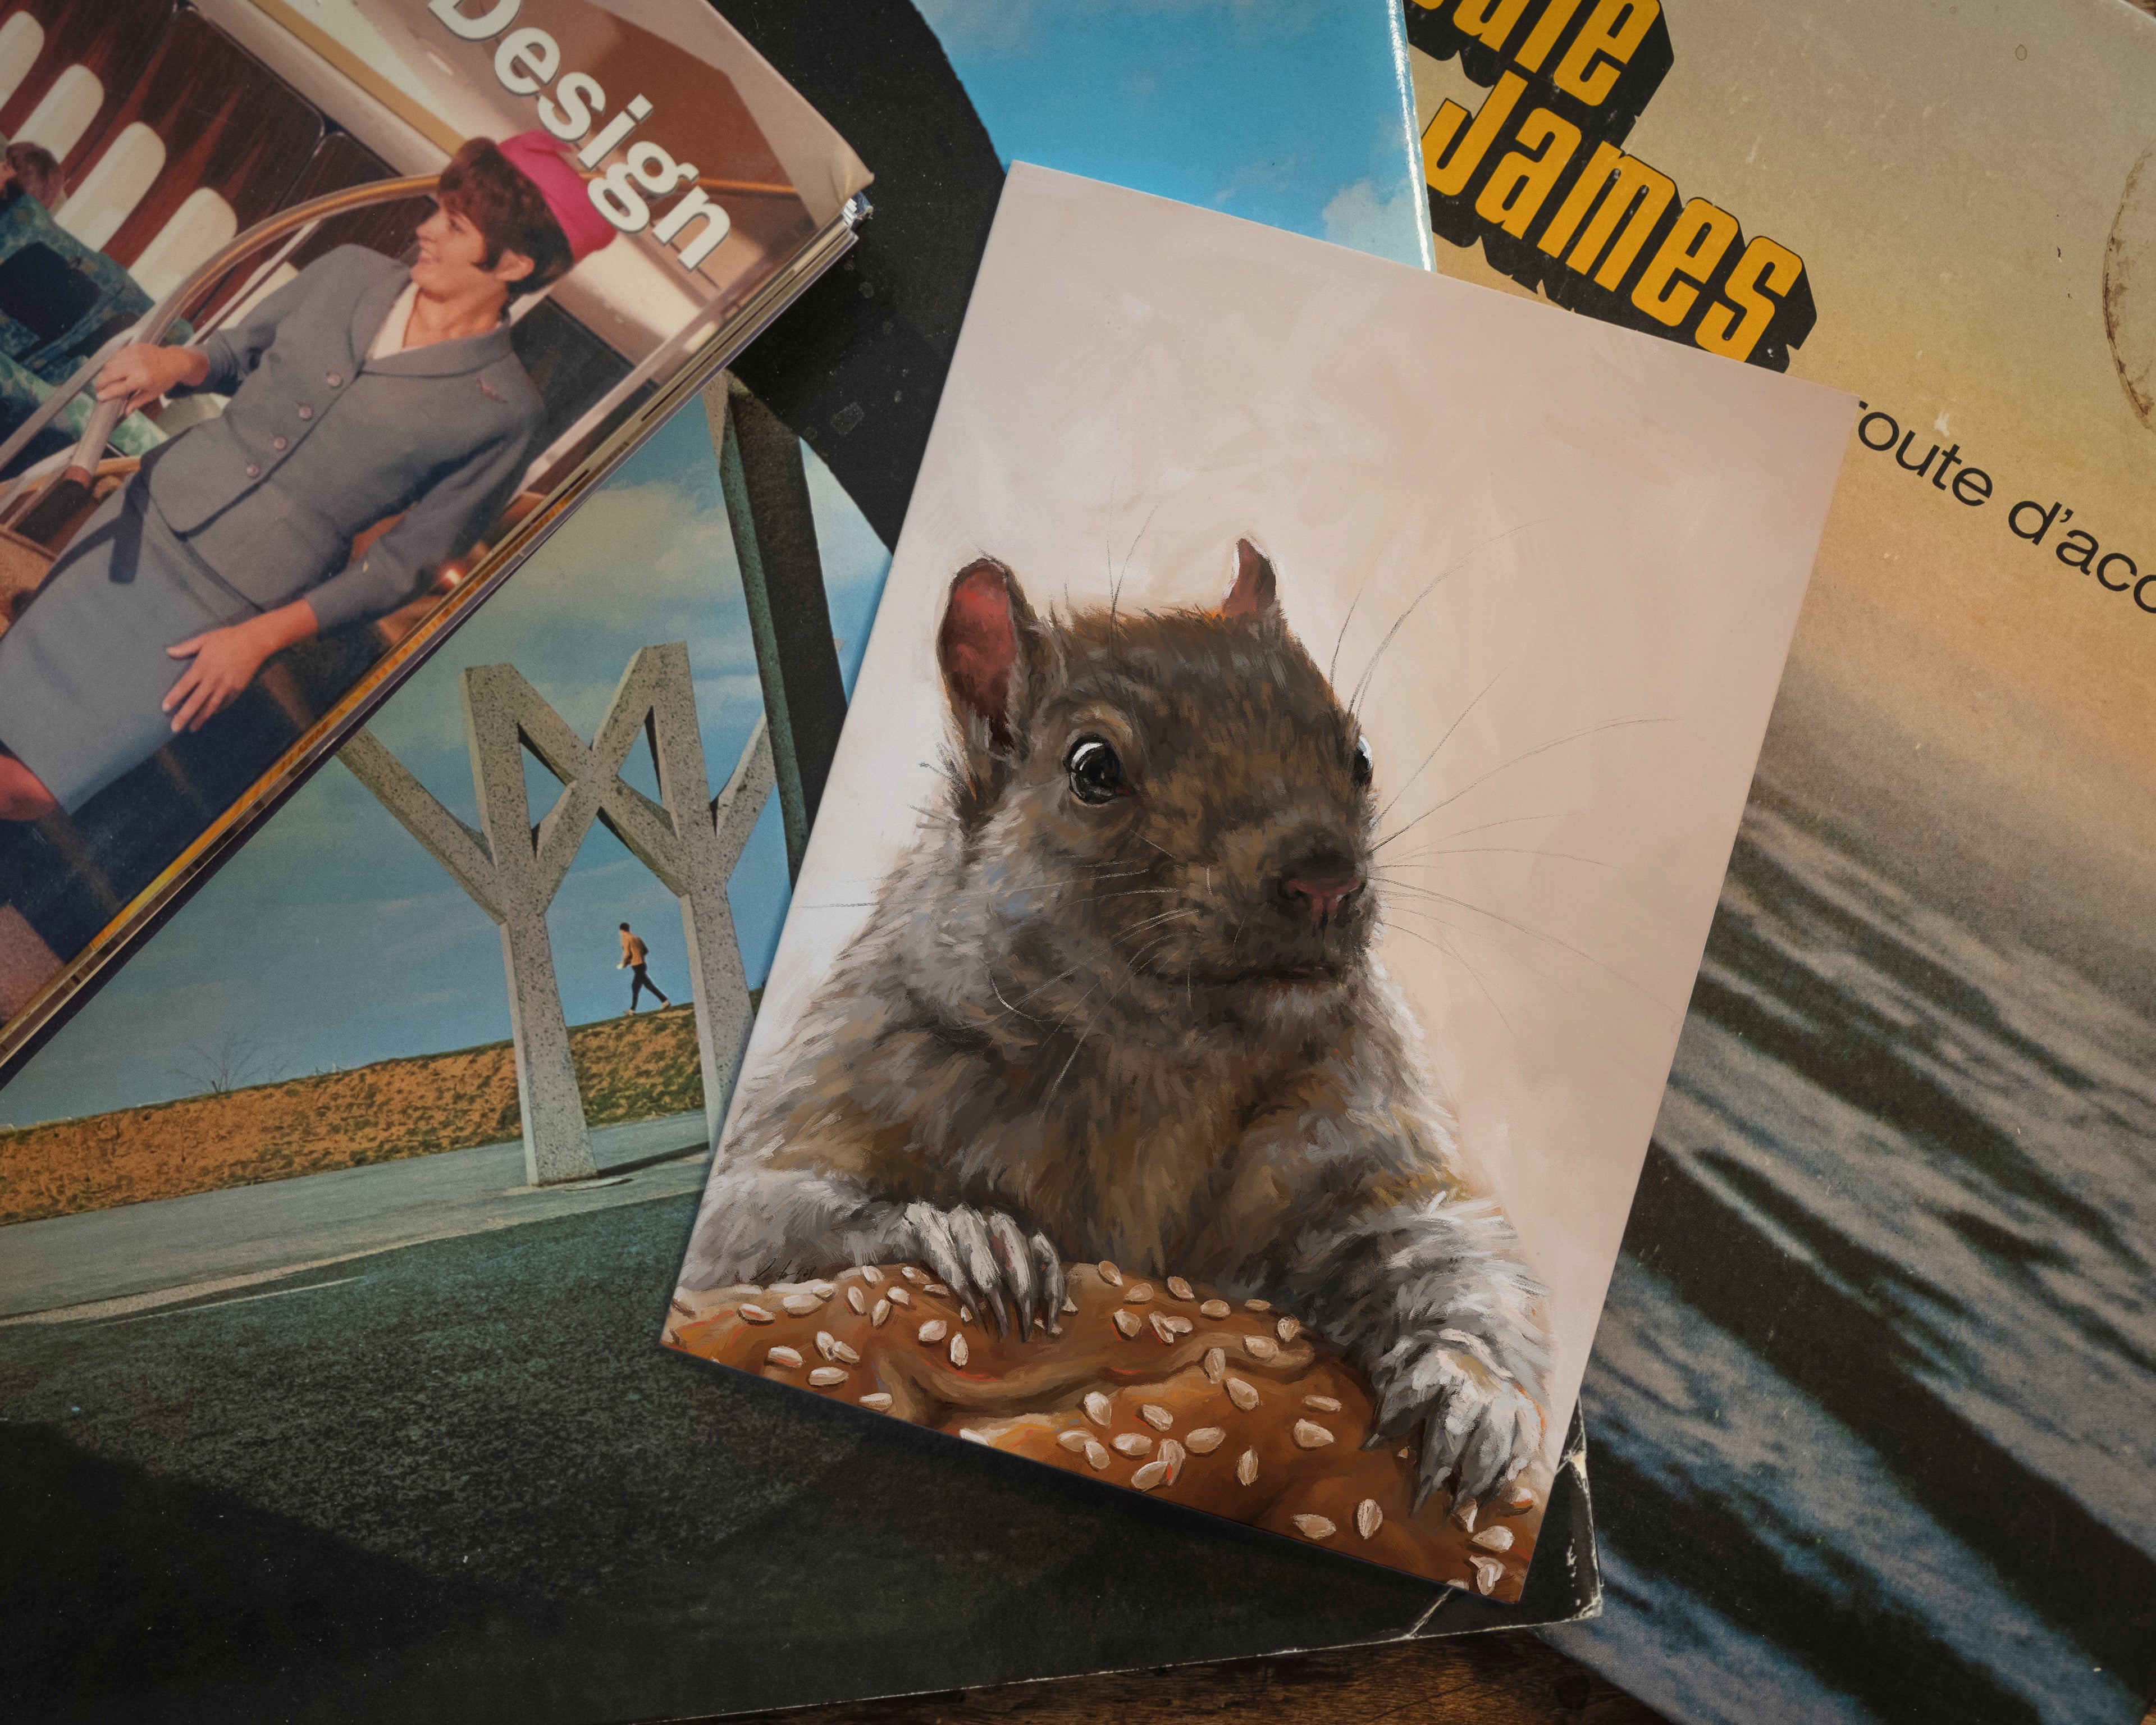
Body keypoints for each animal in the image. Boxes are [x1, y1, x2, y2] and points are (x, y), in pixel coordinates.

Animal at [680, 538, 1550, 1512]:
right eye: (1094, 769)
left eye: (1358, 753)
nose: (1326, 879)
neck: (1163, 1059)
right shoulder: (858, 1063)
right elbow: (745, 1218)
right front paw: (970, 1235)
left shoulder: (1354, 1126)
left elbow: (1440, 1246)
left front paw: (1471, 1395)